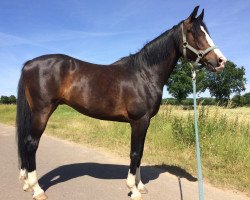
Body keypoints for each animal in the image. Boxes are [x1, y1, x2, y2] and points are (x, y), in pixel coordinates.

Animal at [15, 5, 227, 200]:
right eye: (194, 33)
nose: (221, 61)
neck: (144, 74)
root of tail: (29, 64)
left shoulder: (145, 122)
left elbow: (140, 152)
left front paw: (140, 186)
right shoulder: (139, 121)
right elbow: (134, 153)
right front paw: (133, 190)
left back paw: (26, 183)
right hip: (42, 112)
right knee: (31, 144)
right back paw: (37, 189)